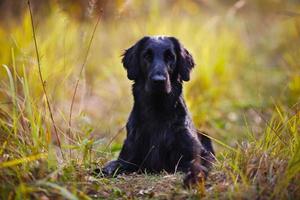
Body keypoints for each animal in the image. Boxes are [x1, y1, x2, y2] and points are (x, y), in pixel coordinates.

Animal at [102, 36, 214, 188]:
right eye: (147, 56)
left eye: (170, 57)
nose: (158, 81)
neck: (158, 109)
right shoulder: (129, 156)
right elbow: (114, 164)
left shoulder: (198, 154)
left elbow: (197, 165)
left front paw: (193, 178)